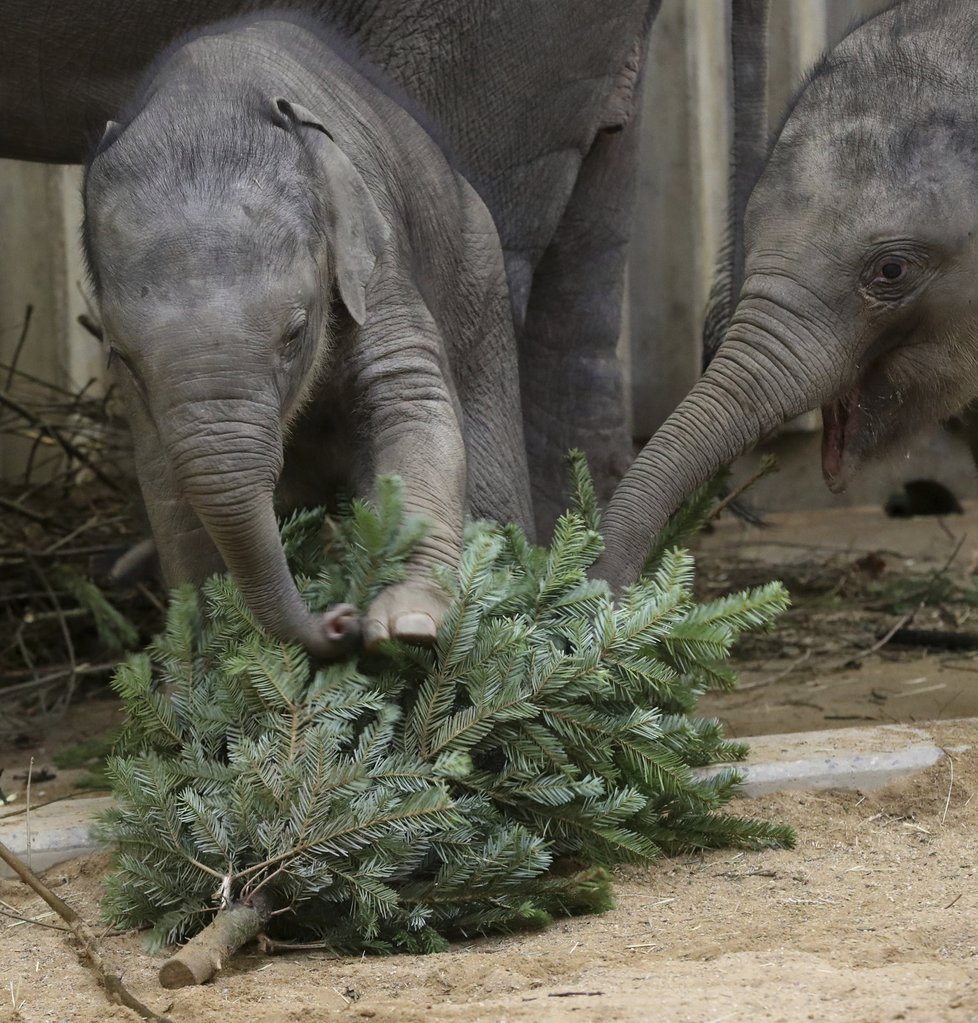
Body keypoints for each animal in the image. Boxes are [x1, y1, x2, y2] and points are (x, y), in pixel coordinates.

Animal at [82, 12, 531, 654]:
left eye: (295, 334)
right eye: (122, 356)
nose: (341, 618)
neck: (206, 100)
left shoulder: (377, 254)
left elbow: (409, 394)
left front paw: (409, 623)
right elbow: (164, 484)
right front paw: (206, 657)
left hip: (479, 273)